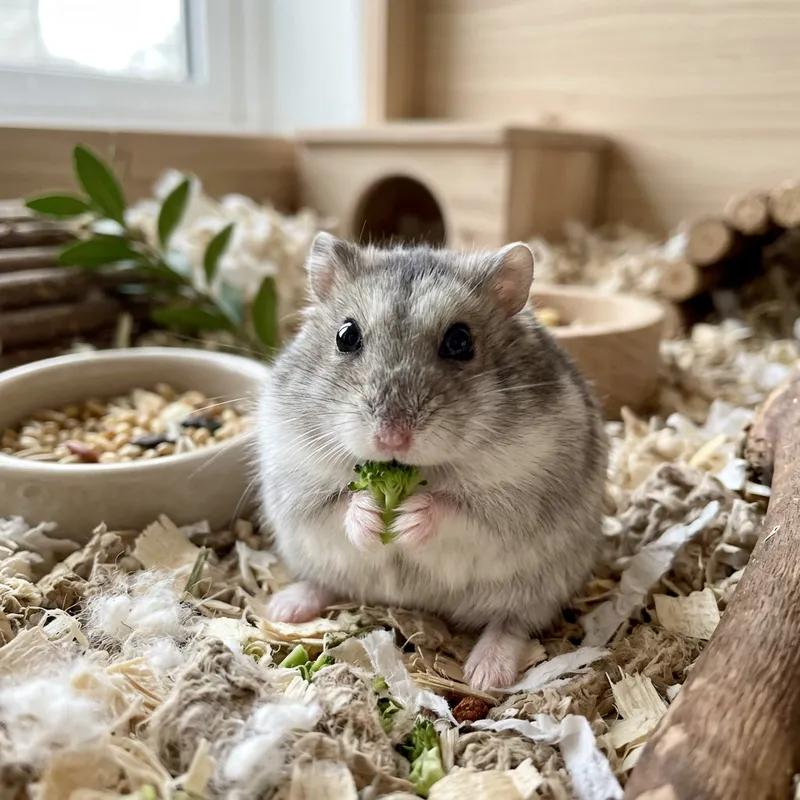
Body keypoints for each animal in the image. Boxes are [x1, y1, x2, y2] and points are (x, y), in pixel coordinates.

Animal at [256, 233, 608, 691]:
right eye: (346, 335)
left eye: (460, 341)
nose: (392, 437)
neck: (414, 473)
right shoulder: (296, 477)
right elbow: (336, 504)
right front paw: (371, 516)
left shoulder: (517, 501)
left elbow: (457, 511)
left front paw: (410, 519)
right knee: (326, 583)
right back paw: (284, 608)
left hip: (538, 586)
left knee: (512, 623)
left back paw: (485, 675)